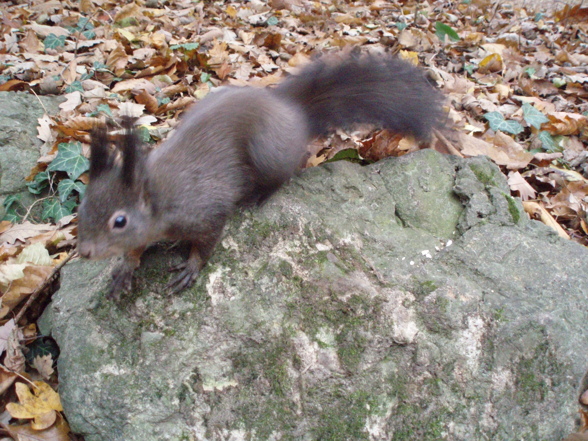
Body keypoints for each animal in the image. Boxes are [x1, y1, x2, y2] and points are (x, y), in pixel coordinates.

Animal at [78, 52, 444, 300]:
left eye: (120, 221)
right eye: (81, 210)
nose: (84, 252)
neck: (158, 194)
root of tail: (293, 114)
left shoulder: (205, 209)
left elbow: (207, 243)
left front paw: (191, 267)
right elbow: (135, 250)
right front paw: (125, 268)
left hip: (267, 153)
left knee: (283, 174)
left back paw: (258, 196)